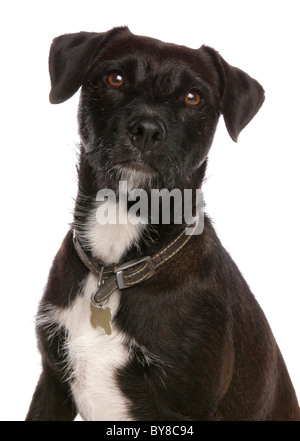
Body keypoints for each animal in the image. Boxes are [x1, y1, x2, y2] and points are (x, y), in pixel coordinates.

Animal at [26, 26, 300, 420]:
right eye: (115, 78)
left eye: (193, 97)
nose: (147, 129)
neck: (114, 265)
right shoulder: (53, 381)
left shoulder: (182, 407)